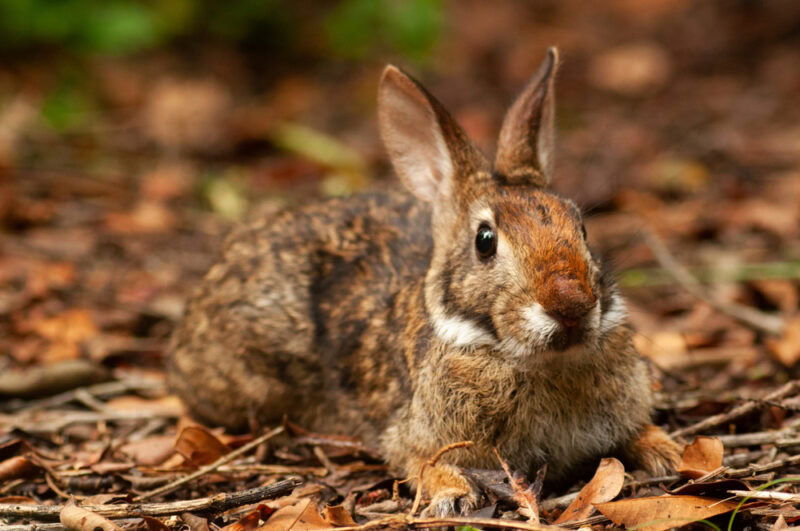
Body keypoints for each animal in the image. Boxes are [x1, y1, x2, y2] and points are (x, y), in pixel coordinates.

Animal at [167, 47, 682, 516]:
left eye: (582, 228)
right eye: (485, 240)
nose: (571, 305)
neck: (529, 358)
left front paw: (670, 452)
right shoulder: (413, 435)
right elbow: (422, 462)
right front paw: (452, 494)